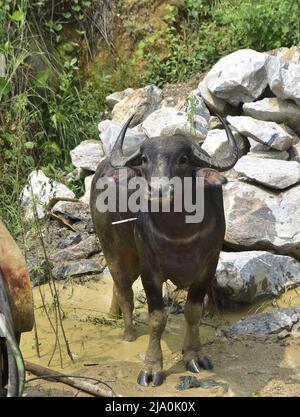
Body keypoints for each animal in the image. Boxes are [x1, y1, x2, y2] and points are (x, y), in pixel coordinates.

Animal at [90, 112, 238, 386]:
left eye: (183, 159)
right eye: (144, 159)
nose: (159, 189)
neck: (180, 236)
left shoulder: (209, 266)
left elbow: (193, 312)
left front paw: (194, 356)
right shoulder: (151, 271)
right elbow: (157, 318)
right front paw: (151, 368)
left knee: (118, 286)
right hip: (113, 249)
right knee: (124, 289)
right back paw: (128, 333)